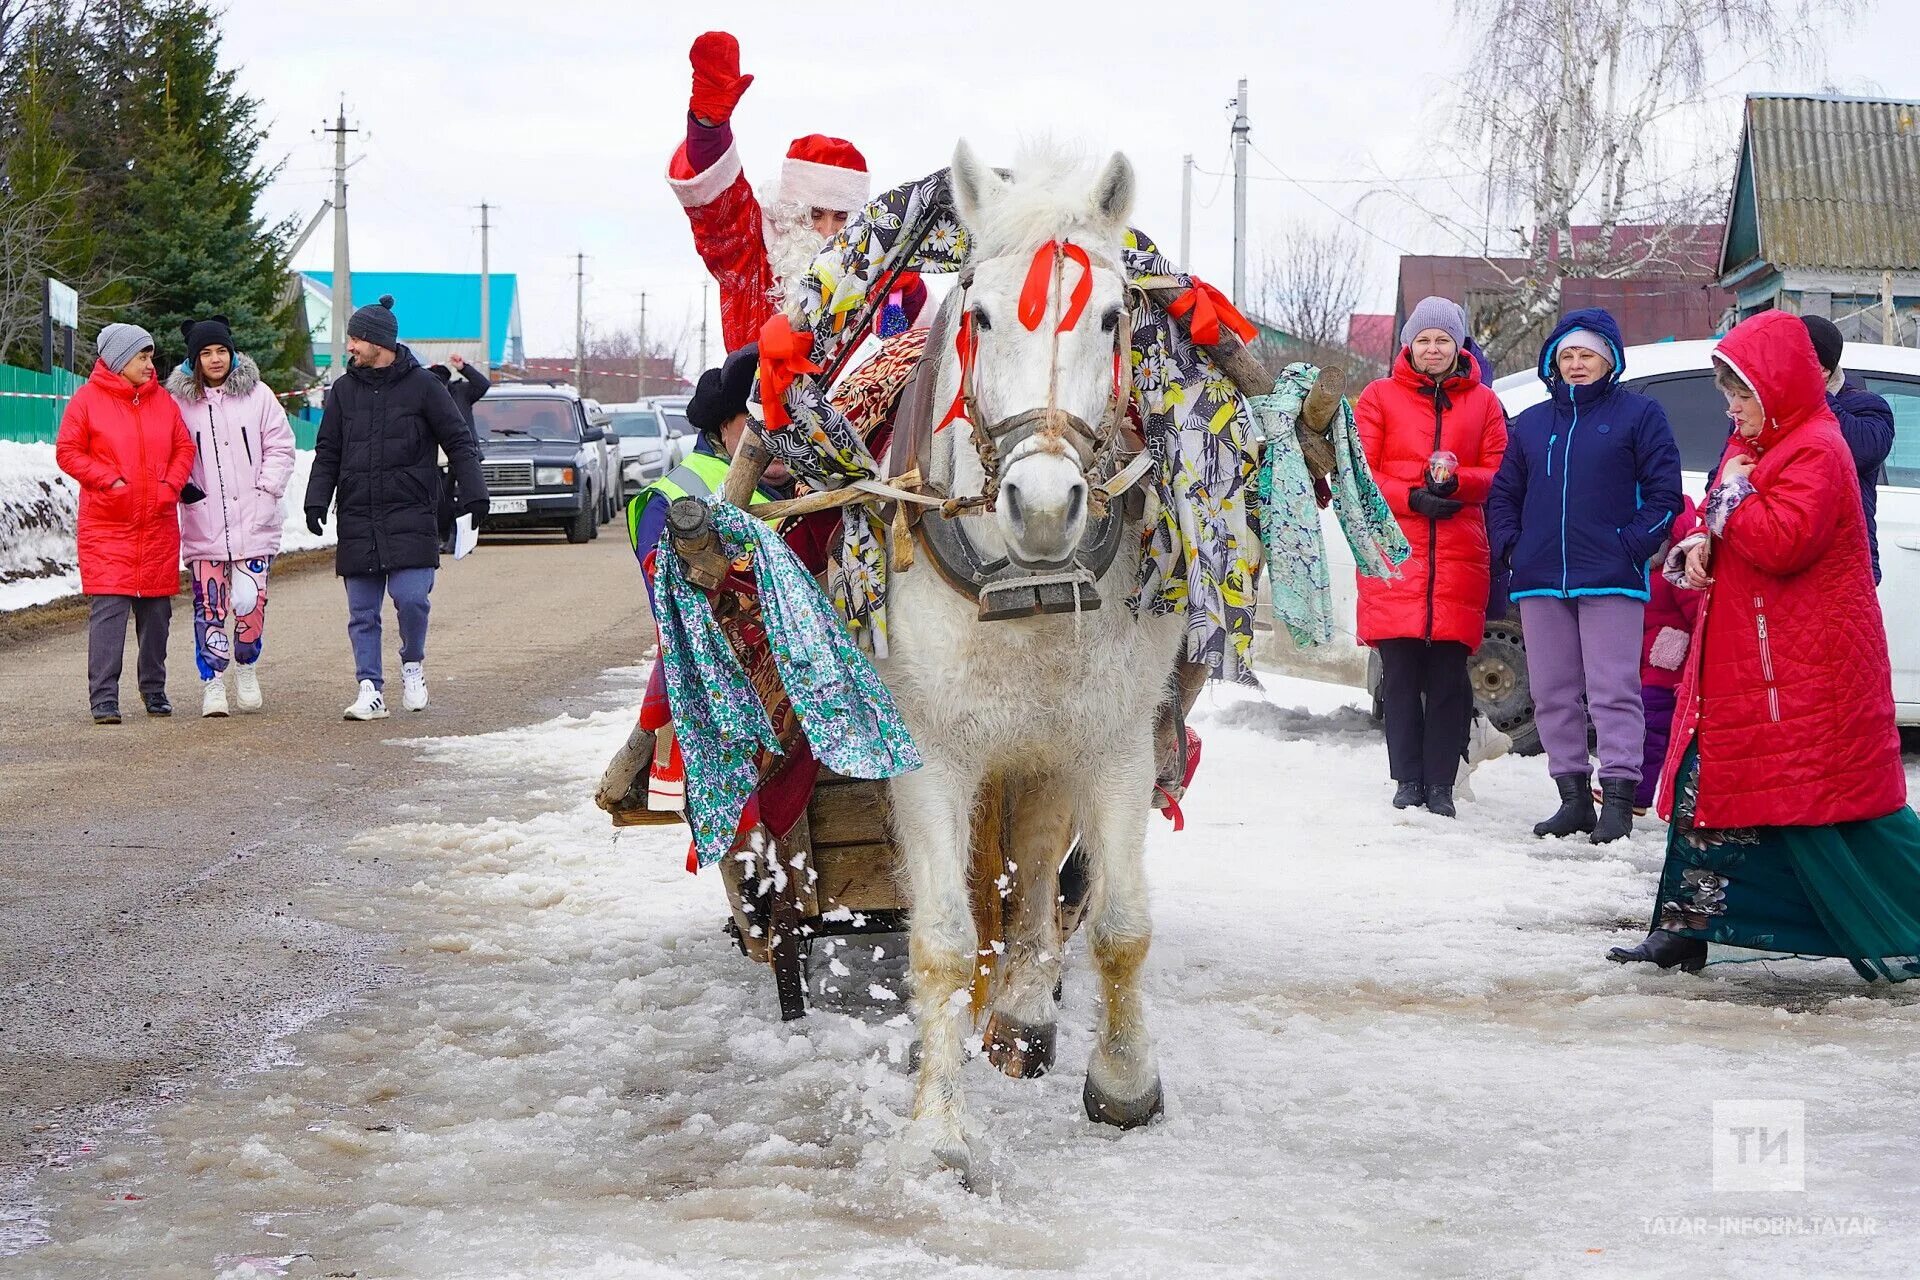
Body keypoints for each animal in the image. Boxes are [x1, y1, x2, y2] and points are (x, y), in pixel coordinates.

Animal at [879, 142, 1175, 1182]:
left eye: (1113, 316)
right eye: (980, 315)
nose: (1043, 507)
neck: (1027, 590)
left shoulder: (1117, 740)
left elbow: (1122, 926)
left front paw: (1125, 1081)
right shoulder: (927, 750)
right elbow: (938, 941)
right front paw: (937, 1130)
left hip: (1047, 746)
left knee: (1044, 864)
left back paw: (1022, 1007)